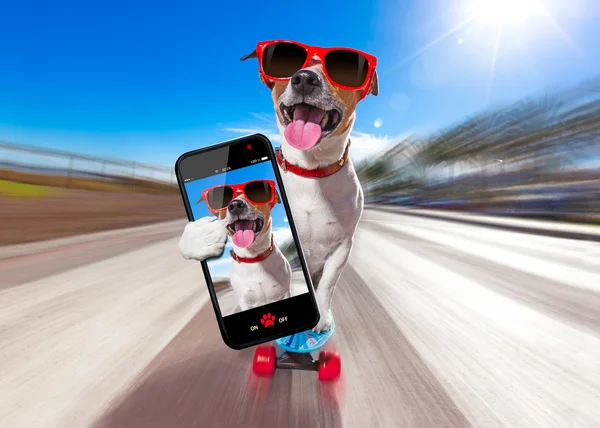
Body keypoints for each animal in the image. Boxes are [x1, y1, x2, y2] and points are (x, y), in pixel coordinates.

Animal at [177, 40, 380, 332]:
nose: (304, 78)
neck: (310, 170)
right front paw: (201, 238)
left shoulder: (341, 248)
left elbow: (327, 285)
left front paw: (321, 316)